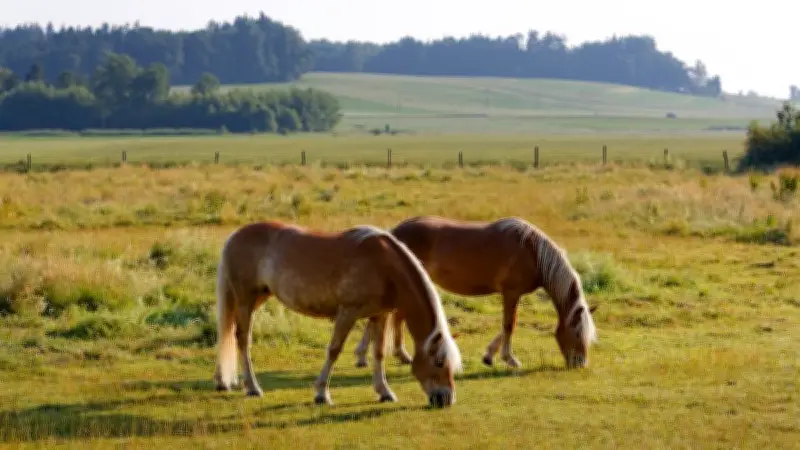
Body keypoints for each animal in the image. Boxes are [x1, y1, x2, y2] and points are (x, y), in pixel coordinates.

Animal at [212, 220, 463, 408]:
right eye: (439, 361)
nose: (447, 399)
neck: (384, 266)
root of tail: (235, 236)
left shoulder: (380, 315)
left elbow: (379, 352)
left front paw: (384, 391)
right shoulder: (347, 313)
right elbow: (334, 350)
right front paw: (322, 394)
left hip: (257, 298)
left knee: (228, 332)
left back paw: (222, 381)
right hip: (245, 300)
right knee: (242, 339)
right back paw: (253, 388)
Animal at [354, 216, 597, 370]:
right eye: (578, 333)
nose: (580, 363)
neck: (532, 251)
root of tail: (393, 233)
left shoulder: (512, 295)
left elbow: (505, 326)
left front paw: (489, 356)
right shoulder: (511, 293)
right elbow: (509, 324)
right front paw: (510, 359)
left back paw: (388, 355)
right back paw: (371, 355)